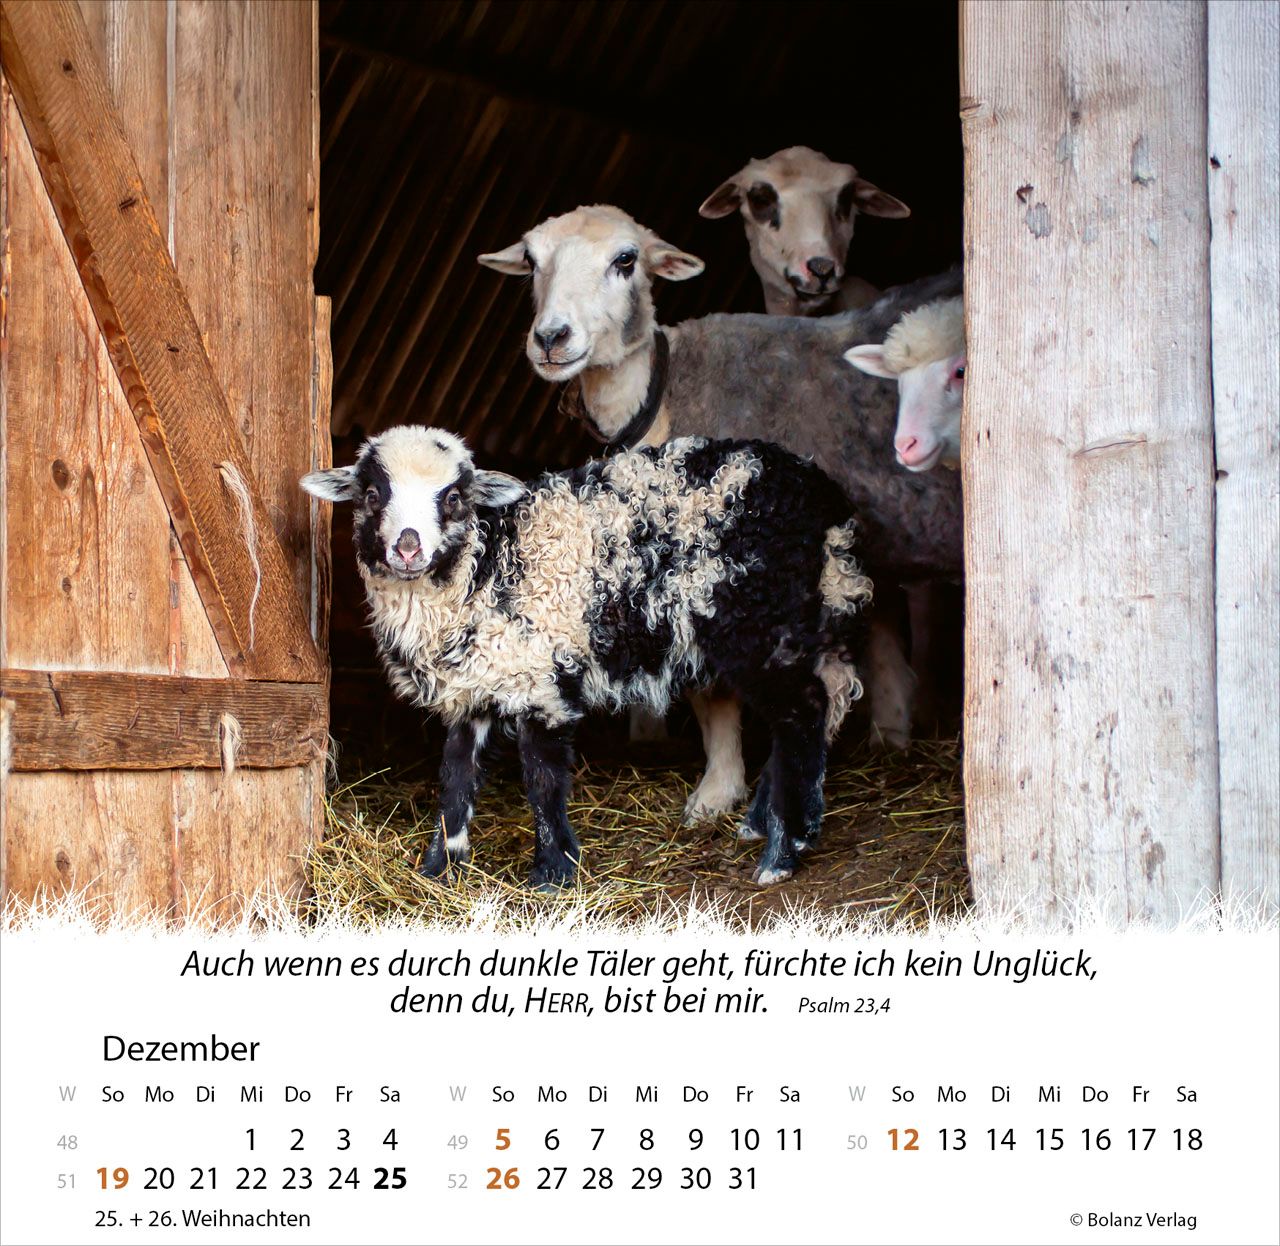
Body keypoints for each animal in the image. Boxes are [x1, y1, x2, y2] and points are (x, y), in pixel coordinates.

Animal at [301, 427, 871, 889]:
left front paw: (554, 873)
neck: (488, 563)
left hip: (759, 622)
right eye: (372, 494)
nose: (407, 546)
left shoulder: (542, 680)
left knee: (804, 711)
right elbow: (456, 777)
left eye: (456, 498)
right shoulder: (475, 686)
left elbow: (542, 780)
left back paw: (783, 852)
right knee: (823, 698)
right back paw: (771, 825)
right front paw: (440, 869)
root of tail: (820, 495)